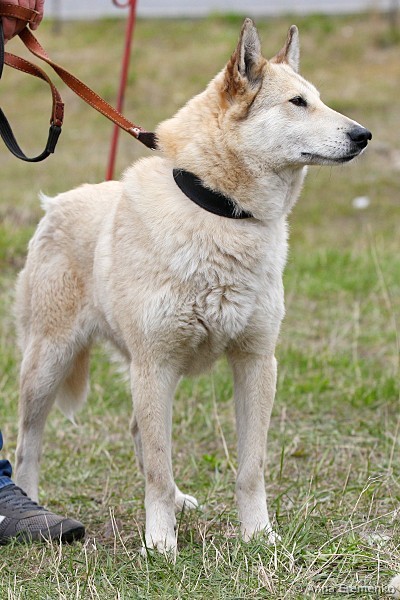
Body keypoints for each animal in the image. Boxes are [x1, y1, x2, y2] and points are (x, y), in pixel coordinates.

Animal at [14, 19, 371, 552]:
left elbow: (250, 469)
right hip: (50, 365)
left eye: (319, 99)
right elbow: (158, 472)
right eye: (297, 103)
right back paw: (33, 506)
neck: (221, 210)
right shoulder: (156, 363)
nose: (364, 135)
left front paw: (258, 535)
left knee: (140, 432)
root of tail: (54, 204)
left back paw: (182, 501)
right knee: (29, 444)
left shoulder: (255, 363)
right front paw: (161, 544)